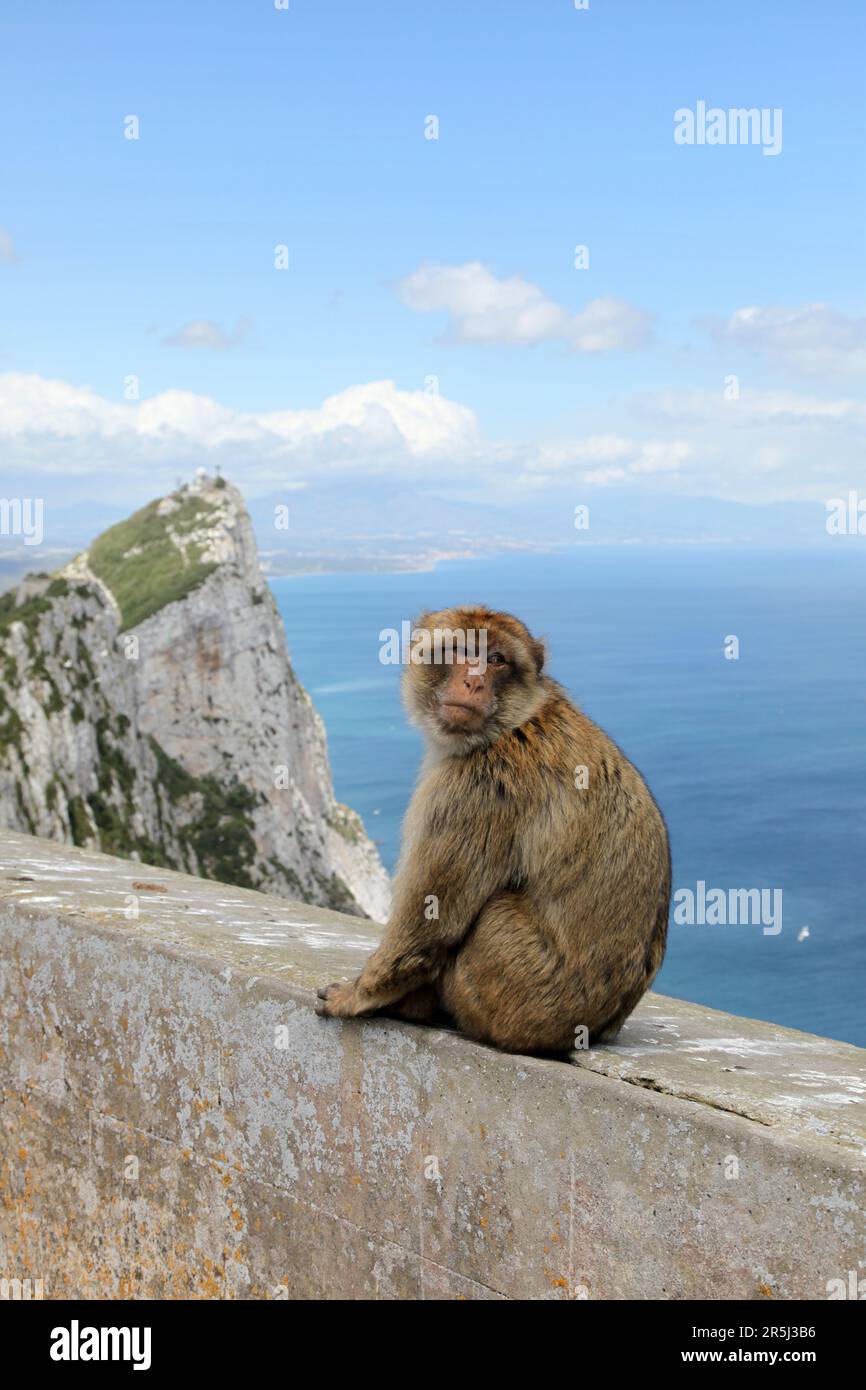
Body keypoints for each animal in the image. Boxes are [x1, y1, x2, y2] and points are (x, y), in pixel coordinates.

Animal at [315, 608, 675, 1050]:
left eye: (497, 659)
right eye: (458, 650)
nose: (474, 680)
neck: (512, 723)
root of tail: (597, 1029)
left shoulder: (475, 787)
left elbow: (430, 920)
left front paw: (360, 994)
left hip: (520, 991)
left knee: (492, 913)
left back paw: (415, 1006)